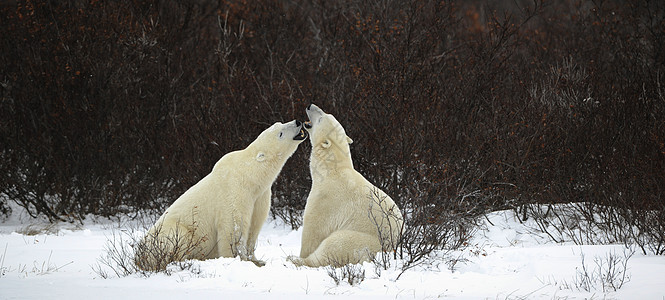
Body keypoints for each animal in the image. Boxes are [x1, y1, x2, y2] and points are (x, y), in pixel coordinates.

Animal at [139, 119, 310, 270]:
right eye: (280, 133)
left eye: (280, 123)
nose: (297, 122)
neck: (250, 175)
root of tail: (139, 257)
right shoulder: (234, 191)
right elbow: (234, 227)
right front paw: (239, 259)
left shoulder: (260, 196)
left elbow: (255, 225)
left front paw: (258, 261)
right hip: (170, 233)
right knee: (179, 236)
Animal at [290, 103, 404, 268]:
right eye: (327, 112)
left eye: (321, 117)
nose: (310, 105)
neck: (332, 169)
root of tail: (391, 250)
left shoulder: (326, 199)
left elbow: (314, 229)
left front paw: (301, 254)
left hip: (359, 241)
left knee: (333, 245)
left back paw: (294, 259)